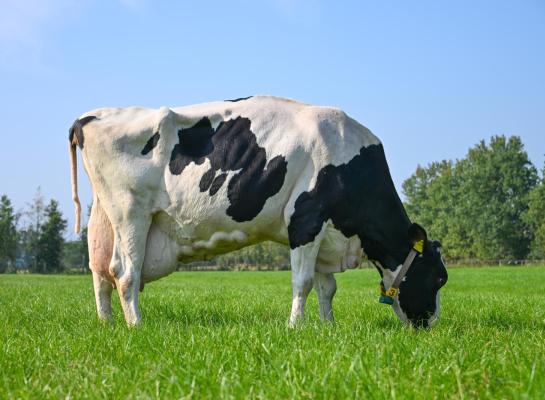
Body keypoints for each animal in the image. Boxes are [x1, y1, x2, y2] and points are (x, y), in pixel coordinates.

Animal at [69, 95, 446, 326]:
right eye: (440, 278)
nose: (430, 325)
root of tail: (90, 116)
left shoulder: (324, 232)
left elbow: (327, 287)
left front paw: (329, 326)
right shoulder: (305, 219)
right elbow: (303, 282)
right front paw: (295, 326)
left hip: (104, 216)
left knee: (100, 271)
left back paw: (108, 325)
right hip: (131, 212)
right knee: (125, 273)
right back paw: (137, 326)